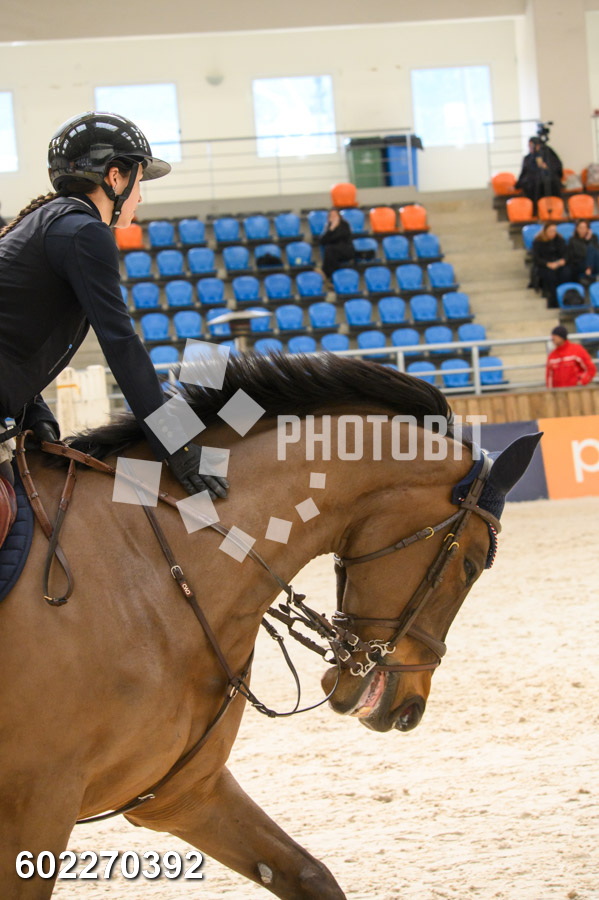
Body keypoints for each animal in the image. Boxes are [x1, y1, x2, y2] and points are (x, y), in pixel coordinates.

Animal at [0, 352, 540, 899]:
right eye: (470, 565)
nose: (409, 709)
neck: (154, 570)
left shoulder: (181, 792)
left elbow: (309, 875)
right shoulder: (36, 810)